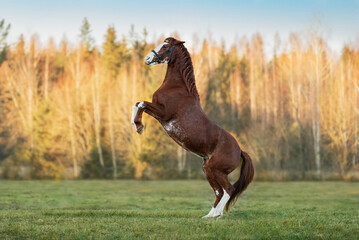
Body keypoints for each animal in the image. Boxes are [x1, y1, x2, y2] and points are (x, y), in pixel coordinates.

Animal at [131, 37, 255, 218]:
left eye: (165, 46)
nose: (147, 59)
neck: (177, 88)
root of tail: (240, 151)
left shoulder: (164, 113)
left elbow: (141, 103)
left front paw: (138, 126)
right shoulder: (158, 113)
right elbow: (137, 103)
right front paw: (136, 124)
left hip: (216, 170)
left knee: (228, 189)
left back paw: (216, 215)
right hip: (208, 170)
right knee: (219, 191)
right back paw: (210, 216)